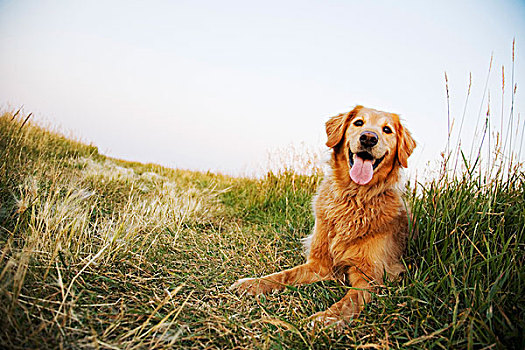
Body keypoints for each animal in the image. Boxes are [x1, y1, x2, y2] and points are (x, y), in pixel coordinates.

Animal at [231, 105, 416, 326]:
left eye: (387, 130)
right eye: (359, 123)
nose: (369, 138)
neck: (354, 197)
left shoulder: (371, 276)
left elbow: (350, 299)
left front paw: (325, 318)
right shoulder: (319, 264)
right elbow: (285, 274)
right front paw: (253, 283)